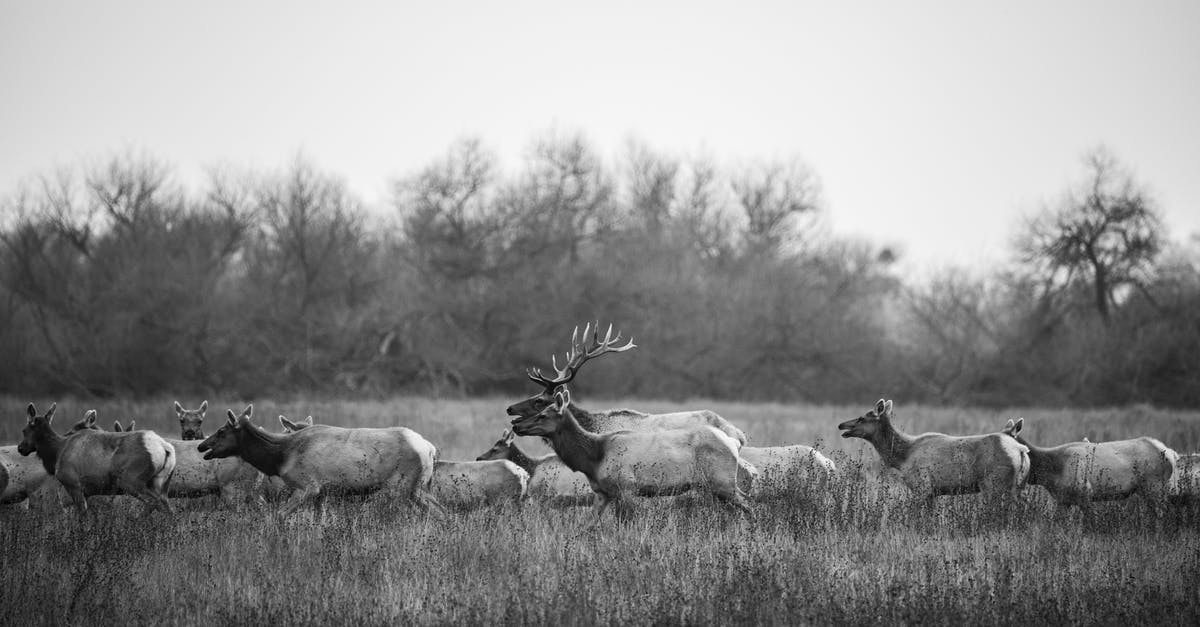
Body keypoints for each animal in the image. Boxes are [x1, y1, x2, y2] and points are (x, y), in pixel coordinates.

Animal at [18, 404, 175, 515]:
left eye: (24, 430)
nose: (21, 448)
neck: (56, 453)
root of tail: (165, 447)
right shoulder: (87, 492)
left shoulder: (73, 484)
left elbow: (83, 517)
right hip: (160, 484)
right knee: (166, 506)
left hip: (131, 480)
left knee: (154, 503)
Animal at [197, 405, 442, 516]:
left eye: (221, 431)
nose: (202, 446)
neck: (280, 457)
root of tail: (430, 448)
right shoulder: (322, 493)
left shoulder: (307, 486)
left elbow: (279, 515)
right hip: (418, 487)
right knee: (441, 510)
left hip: (400, 485)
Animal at [510, 388, 754, 524]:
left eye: (542, 412)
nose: (516, 426)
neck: (593, 458)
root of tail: (734, 440)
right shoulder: (603, 493)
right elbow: (587, 526)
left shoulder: (626, 488)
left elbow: (626, 524)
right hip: (714, 486)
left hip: (722, 481)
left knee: (749, 505)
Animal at [837, 399, 1029, 501]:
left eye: (861, 418)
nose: (841, 425)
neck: (901, 458)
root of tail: (1021, 449)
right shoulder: (932, 493)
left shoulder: (922, 486)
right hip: (1017, 486)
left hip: (993, 484)